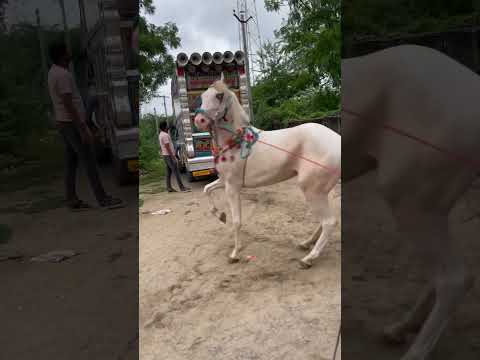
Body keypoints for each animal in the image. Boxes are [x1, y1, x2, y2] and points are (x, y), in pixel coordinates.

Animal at [193, 76, 340, 268]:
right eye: (202, 96)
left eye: (219, 96)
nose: (199, 121)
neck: (236, 141)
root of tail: (337, 140)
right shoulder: (223, 181)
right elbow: (206, 190)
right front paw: (221, 216)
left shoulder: (232, 187)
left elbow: (237, 221)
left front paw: (235, 254)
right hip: (322, 191)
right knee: (324, 221)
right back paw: (306, 244)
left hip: (312, 191)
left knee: (329, 222)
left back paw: (308, 259)